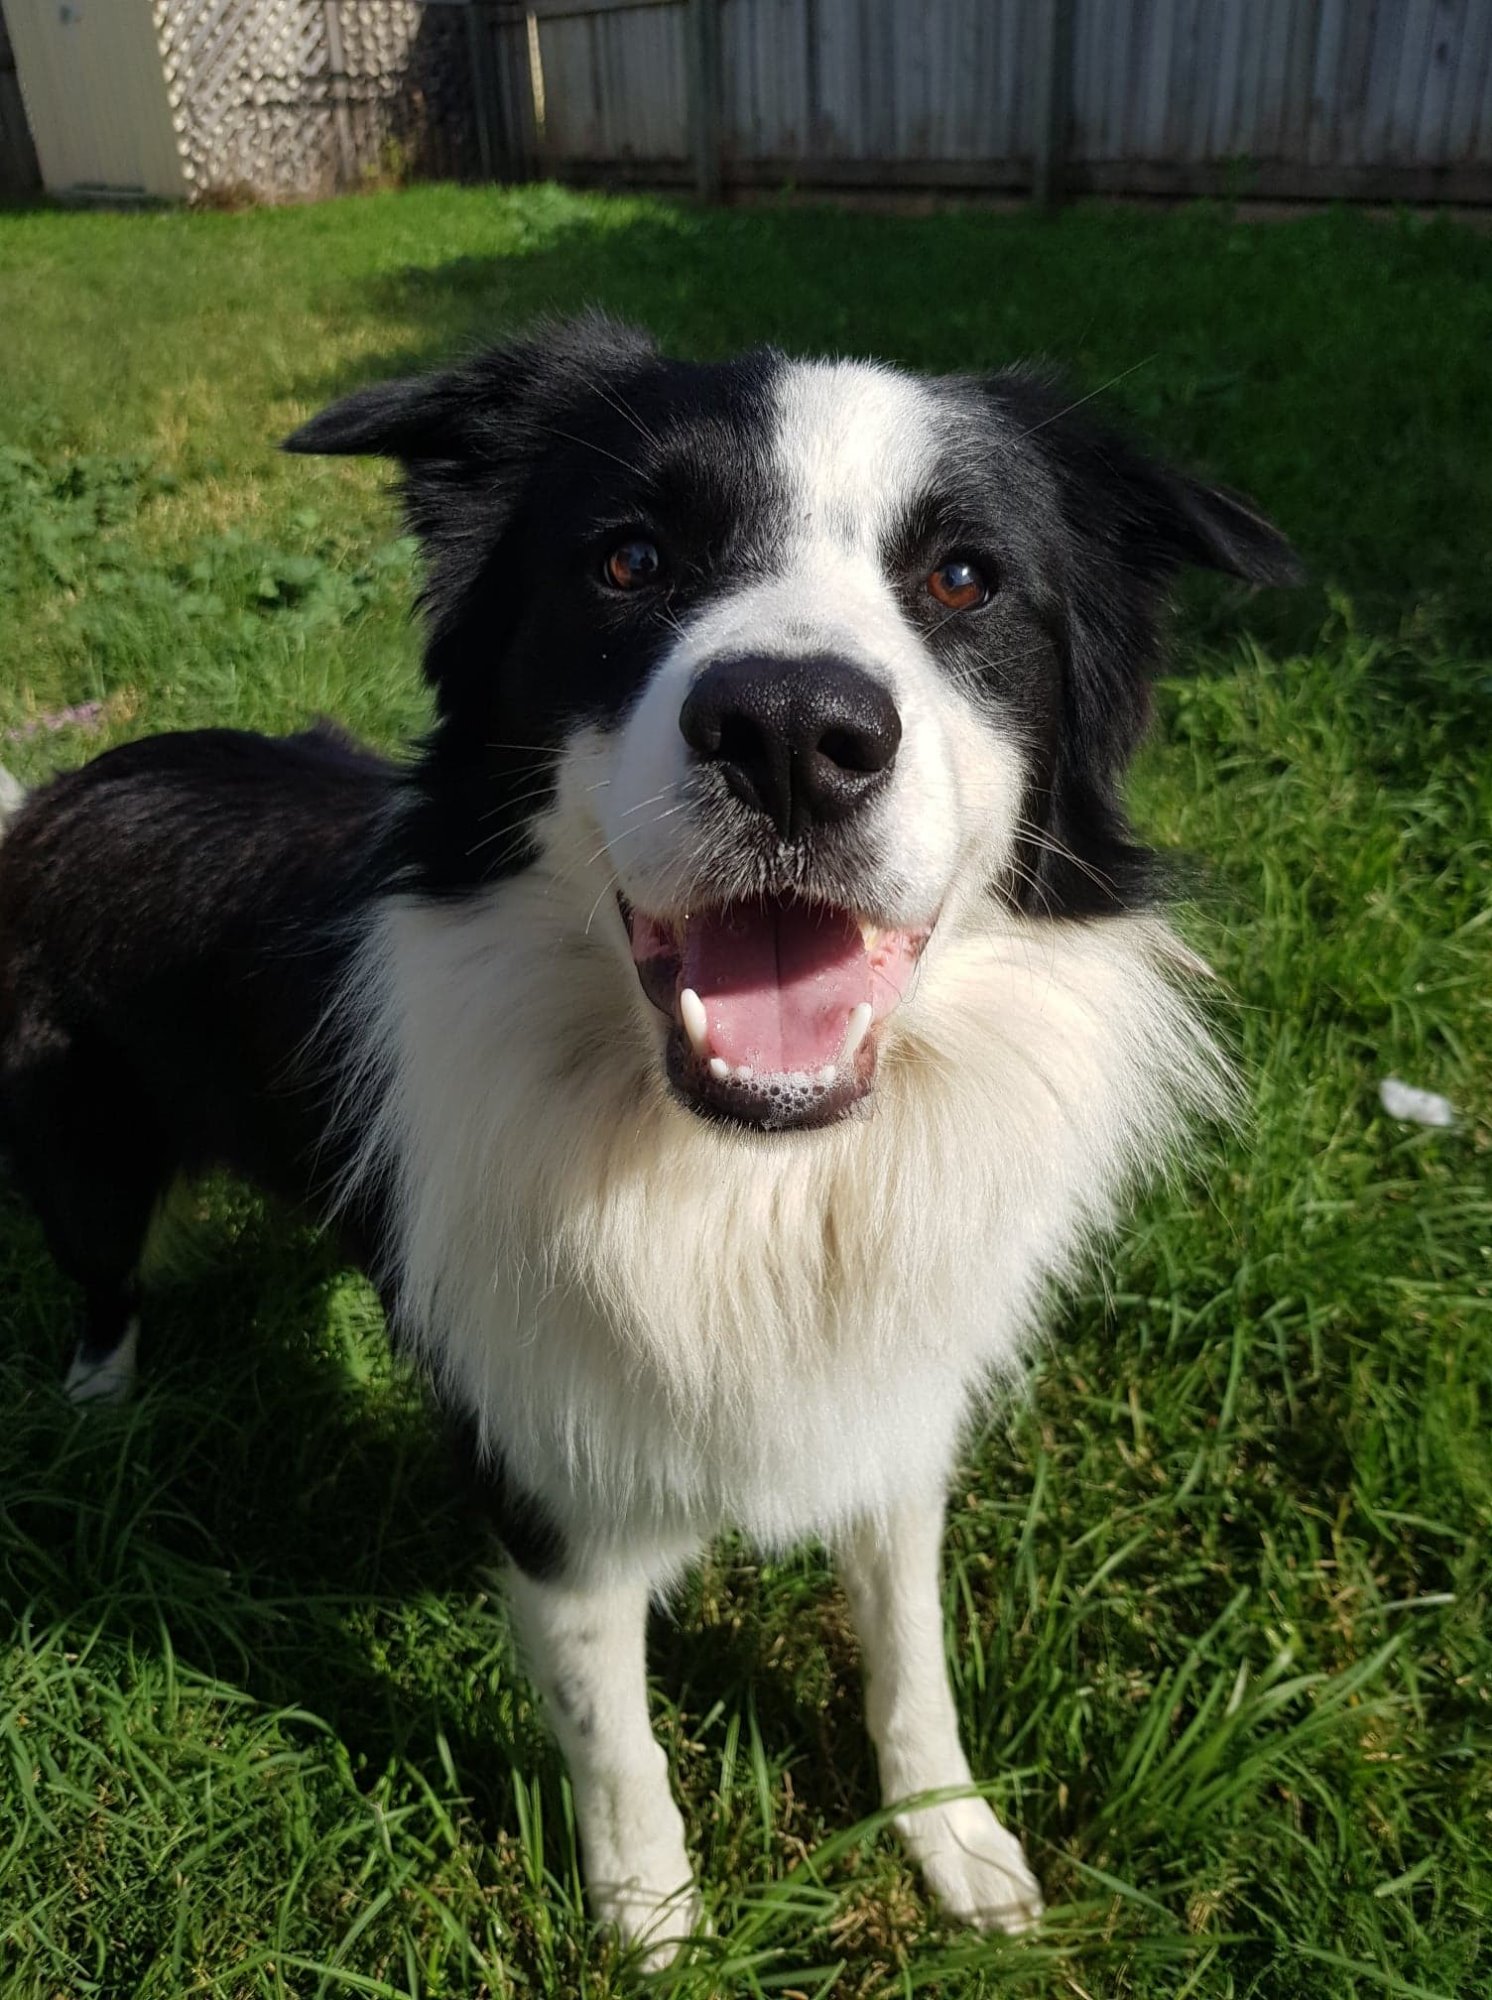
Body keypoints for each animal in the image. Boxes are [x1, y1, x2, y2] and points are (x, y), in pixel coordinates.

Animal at [0, 316, 1296, 1964]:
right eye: (626, 559)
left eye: (963, 578)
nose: (792, 734)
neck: (748, 1178)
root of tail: (51, 796)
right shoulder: (534, 1455)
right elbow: (606, 1718)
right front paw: (650, 1909)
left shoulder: (892, 1396)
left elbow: (911, 1646)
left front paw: (953, 1840)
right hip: (82, 1158)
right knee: (100, 1291)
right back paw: (97, 1415)